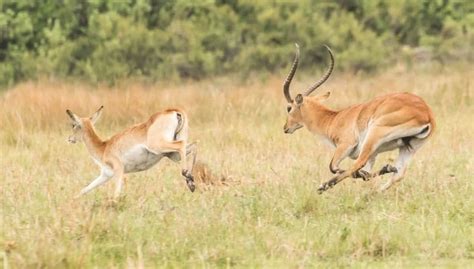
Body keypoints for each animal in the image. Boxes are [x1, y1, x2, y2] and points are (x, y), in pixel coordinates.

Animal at [66, 105, 196, 198]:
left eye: (74, 125)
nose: (70, 138)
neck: (104, 148)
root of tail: (173, 111)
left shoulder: (119, 169)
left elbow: (116, 193)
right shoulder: (105, 175)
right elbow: (84, 189)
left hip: (159, 146)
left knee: (181, 144)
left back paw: (186, 175)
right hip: (171, 155)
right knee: (194, 144)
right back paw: (191, 182)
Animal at [284, 44, 436, 192]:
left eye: (289, 108)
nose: (285, 128)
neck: (333, 119)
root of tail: (426, 112)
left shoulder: (345, 145)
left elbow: (334, 167)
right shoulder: (374, 154)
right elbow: (366, 173)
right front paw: (383, 169)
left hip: (373, 135)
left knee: (357, 164)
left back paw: (324, 186)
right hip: (409, 148)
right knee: (398, 173)